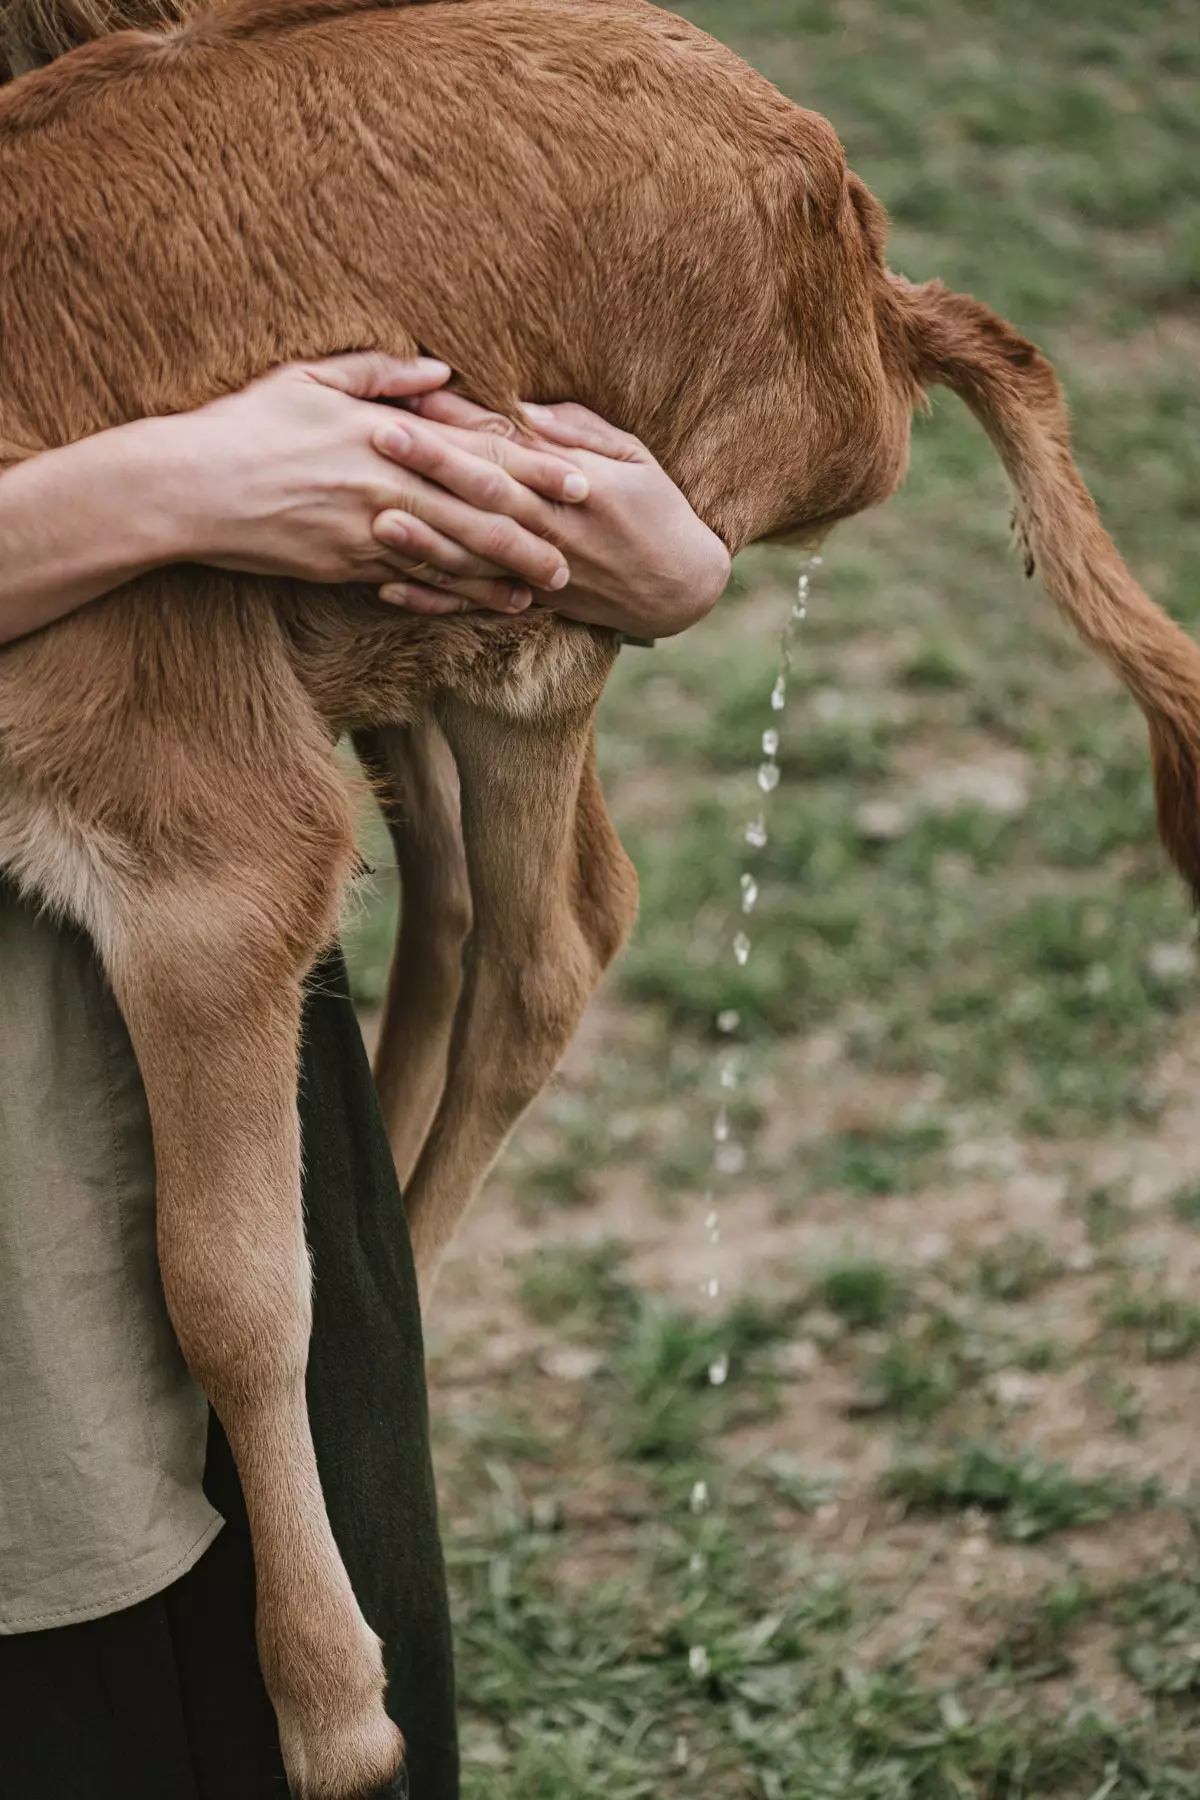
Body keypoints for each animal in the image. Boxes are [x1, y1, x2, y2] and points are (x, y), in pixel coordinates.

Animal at [4, 0, 1194, 1792]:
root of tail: (861, 261)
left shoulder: (196, 836)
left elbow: (228, 1284)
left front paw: (334, 1710)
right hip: (408, 649)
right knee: (451, 924)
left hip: (529, 604)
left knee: (555, 943)